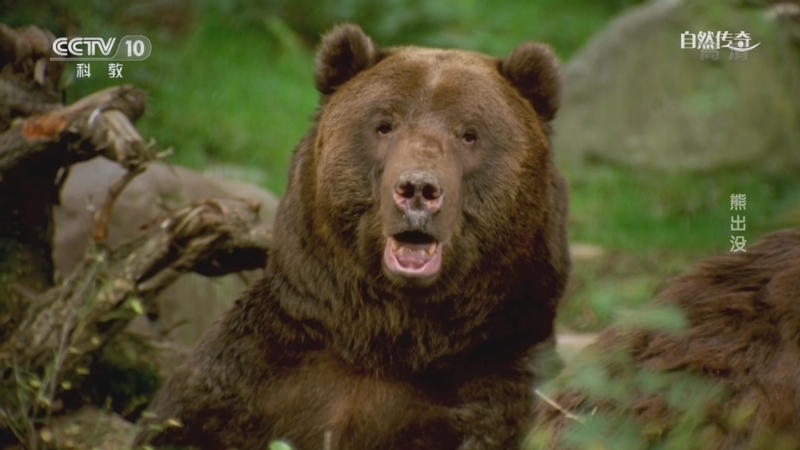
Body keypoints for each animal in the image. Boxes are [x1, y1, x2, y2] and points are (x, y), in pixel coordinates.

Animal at [134, 23, 570, 450]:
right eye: (384, 124)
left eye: (469, 134)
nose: (417, 189)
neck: (383, 337)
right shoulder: (250, 375)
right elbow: (184, 422)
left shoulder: (493, 383)